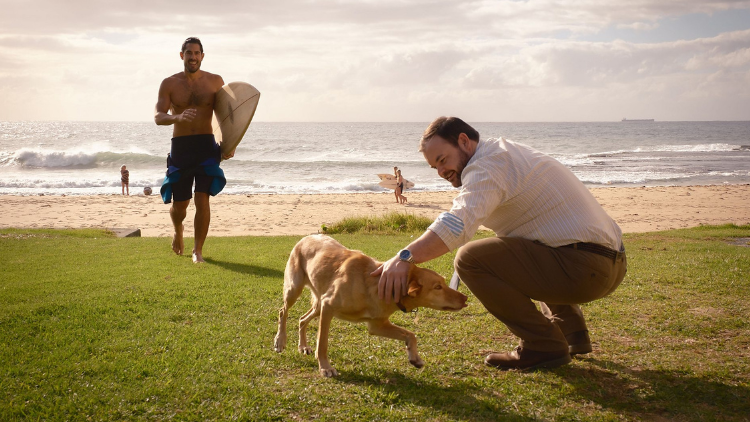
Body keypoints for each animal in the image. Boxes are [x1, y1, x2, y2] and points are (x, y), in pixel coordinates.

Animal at [274, 236, 468, 378]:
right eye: (437, 287)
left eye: (444, 283)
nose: (465, 297)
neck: (376, 285)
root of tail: (306, 237)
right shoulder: (329, 306)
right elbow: (322, 343)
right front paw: (325, 367)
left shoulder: (377, 325)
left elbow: (410, 334)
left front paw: (415, 357)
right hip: (296, 290)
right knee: (283, 311)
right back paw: (280, 341)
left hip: (318, 305)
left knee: (302, 319)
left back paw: (303, 346)